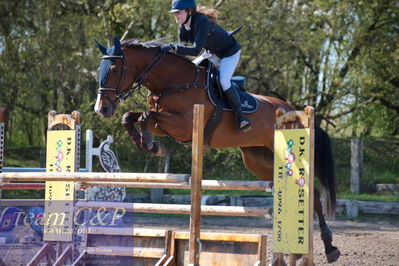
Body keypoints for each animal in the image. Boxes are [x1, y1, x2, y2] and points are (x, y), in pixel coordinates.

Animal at [93, 36, 340, 262]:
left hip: (285, 154)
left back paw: (329, 248)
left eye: (114, 69)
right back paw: (298, 252)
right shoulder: (166, 125)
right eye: (99, 69)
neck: (174, 83)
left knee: (311, 192)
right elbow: (130, 117)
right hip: (259, 160)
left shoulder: (182, 124)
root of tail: (295, 110)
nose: (101, 109)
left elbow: (146, 116)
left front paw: (151, 145)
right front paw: (146, 142)